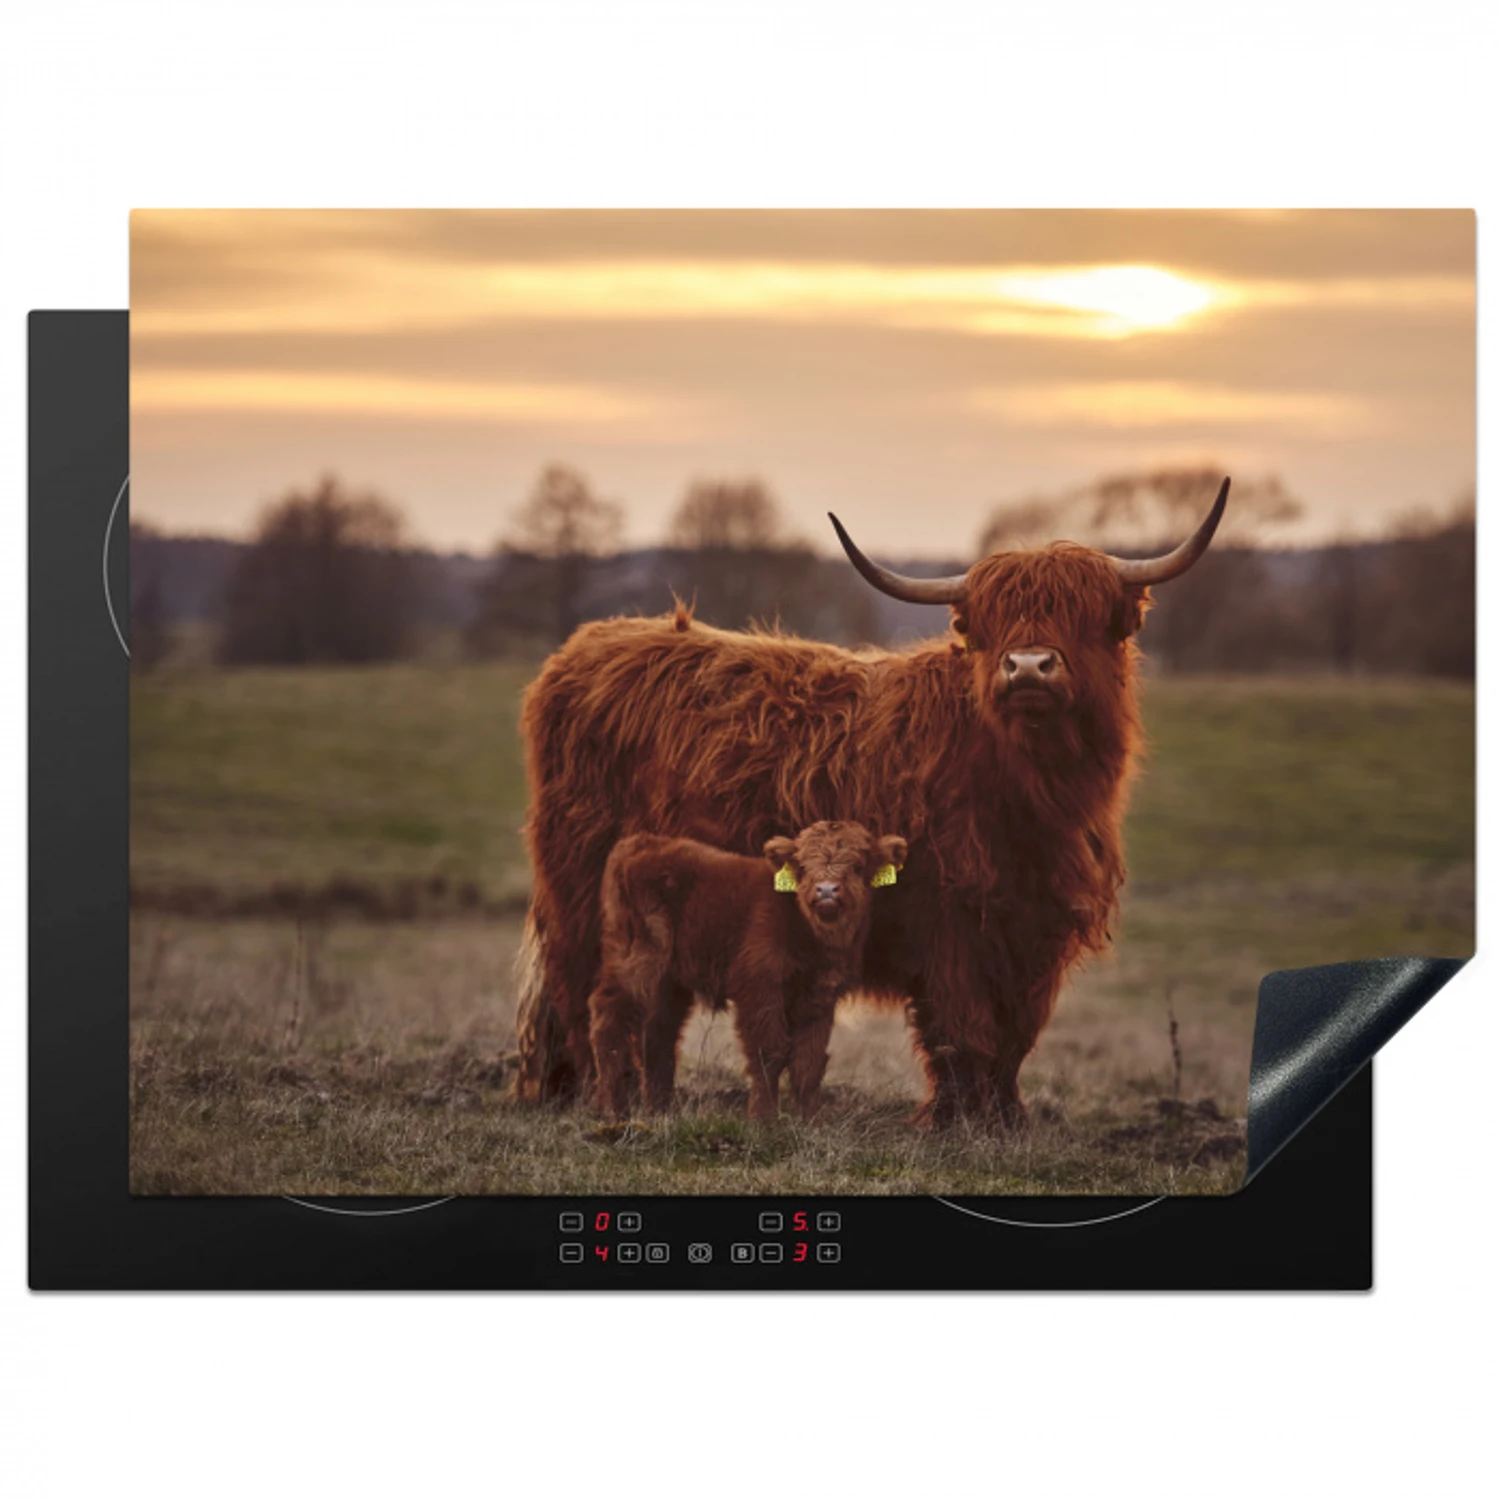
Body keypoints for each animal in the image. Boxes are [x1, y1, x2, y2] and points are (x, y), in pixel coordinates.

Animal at [588, 821, 908, 1120]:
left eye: (858, 866)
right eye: (803, 866)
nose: (827, 890)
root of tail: (640, 843)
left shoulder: (820, 997)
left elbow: (809, 1061)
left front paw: (811, 1120)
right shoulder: (759, 988)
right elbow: (769, 1052)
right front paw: (763, 1119)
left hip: (668, 980)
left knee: (658, 1034)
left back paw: (660, 1111)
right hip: (637, 960)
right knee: (610, 1019)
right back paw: (611, 1110)